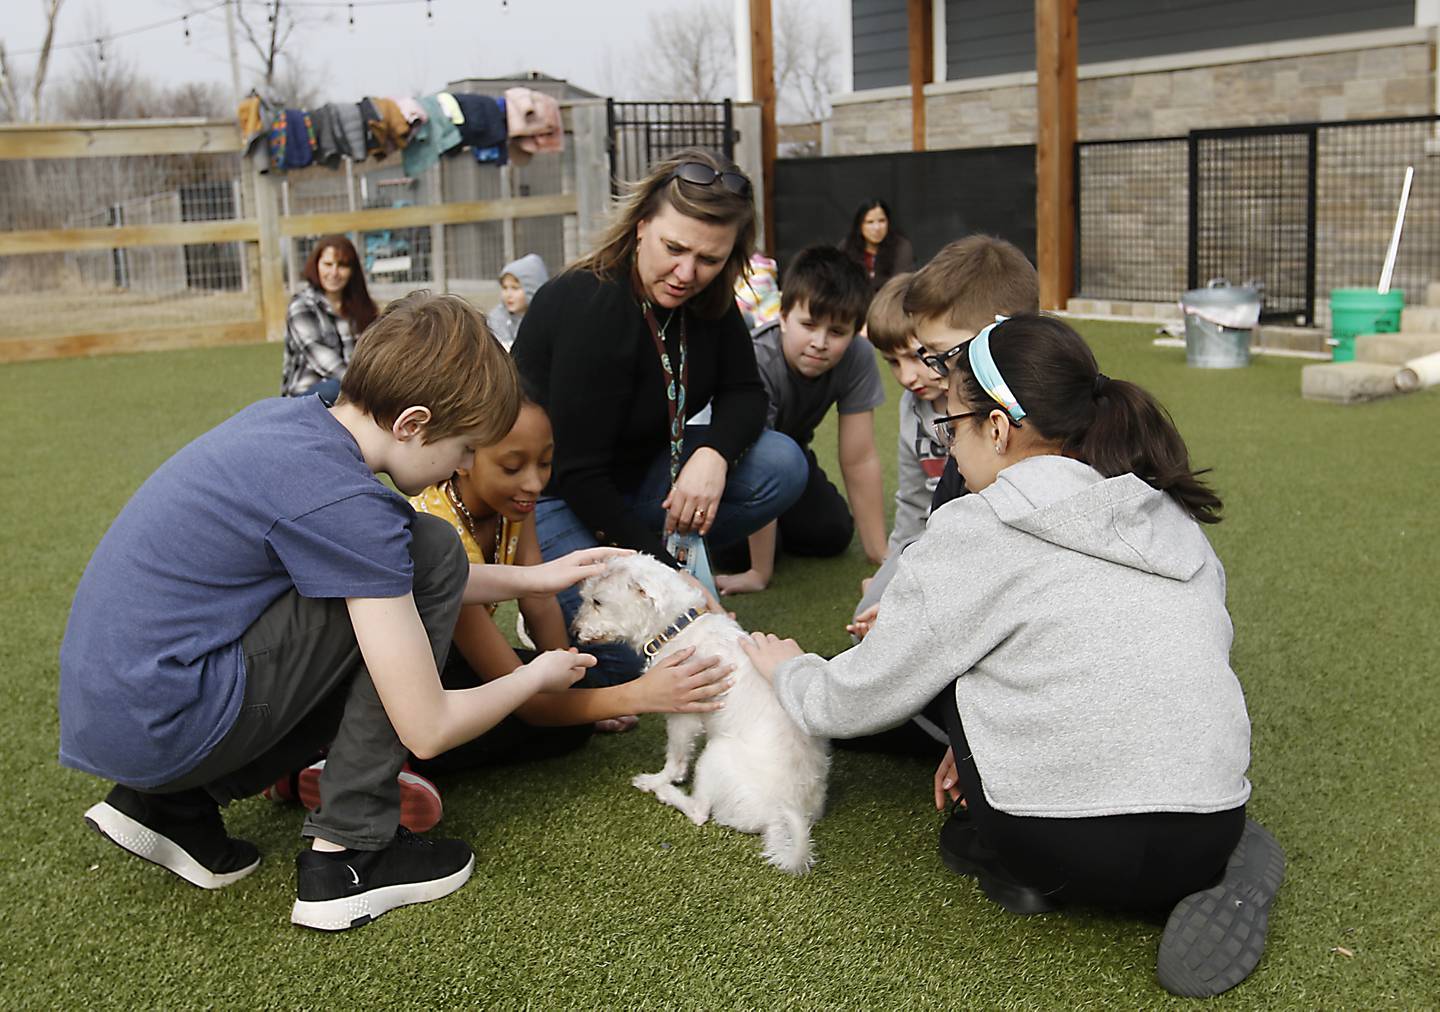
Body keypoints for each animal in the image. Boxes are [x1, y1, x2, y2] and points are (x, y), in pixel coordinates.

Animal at [567, 549, 829, 875]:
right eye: (584, 595)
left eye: (598, 601)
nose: (573, 632)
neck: (676, 628)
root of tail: (779, 815)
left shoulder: (683, 714)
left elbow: (675, 757)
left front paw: (661, 779)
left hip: (714, 757)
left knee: (700, 813)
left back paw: (664, 792)